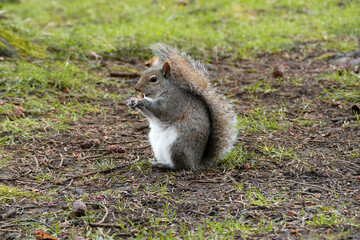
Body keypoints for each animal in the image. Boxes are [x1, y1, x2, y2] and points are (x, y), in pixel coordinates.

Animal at [126, 43, 236, 171]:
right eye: (142, 74)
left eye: (154, 79)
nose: (137, 88)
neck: (164, 90)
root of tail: (196, 162)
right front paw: (132, 100)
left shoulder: (174, 102)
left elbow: (161, 111)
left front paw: (143, 101)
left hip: (178, 145)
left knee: (180, 165)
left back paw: (164, 164)